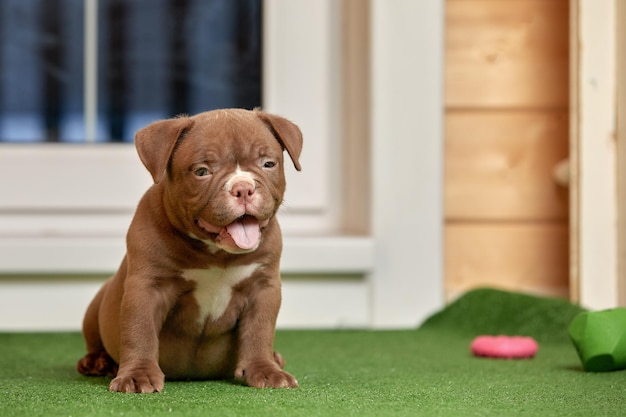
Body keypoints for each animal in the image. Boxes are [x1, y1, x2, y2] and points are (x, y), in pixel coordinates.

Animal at [77, 107, 302, 390]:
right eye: (202, 171)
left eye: (268, 164)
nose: (243, 188)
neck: (217, 253)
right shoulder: (146, 287)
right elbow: (139, 330)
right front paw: (137, 375)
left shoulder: (263, 287)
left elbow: (259, 330)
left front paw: (265, 369)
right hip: (96, 306)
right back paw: (97, 362)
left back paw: (276, 358)